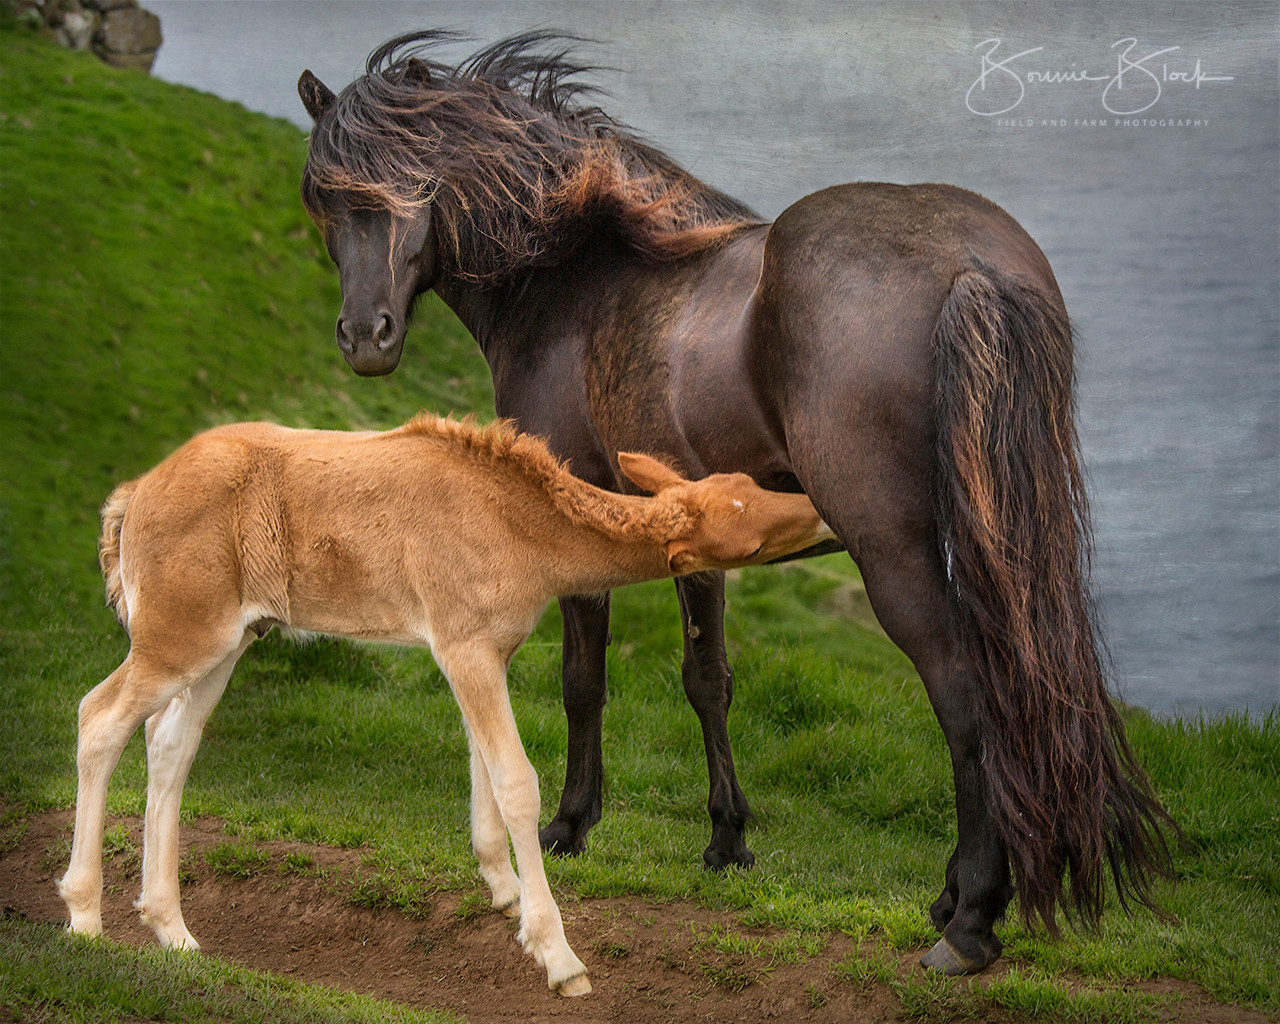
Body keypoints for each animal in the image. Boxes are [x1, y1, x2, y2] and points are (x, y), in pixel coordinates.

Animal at [57, 412, 833, 996]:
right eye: (751, 539)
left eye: (748, 485)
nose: (819, 509)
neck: (523, 532)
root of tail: (132, 496)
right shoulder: (463, 644)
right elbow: (517, 781)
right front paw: (558, 956)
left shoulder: (481, 652)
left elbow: (484, 769)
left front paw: (506, 894)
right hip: (179, 634)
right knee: (99, 717)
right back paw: (86, 916)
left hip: (229, 639)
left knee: (169, 743)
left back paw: (172, 927)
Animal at [295, 31, 1177, 974]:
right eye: (324, 196)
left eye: (417, 186)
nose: (367, 338)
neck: (576, 278)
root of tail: (968, 263)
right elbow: (708, 677)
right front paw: (726, 839)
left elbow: (586, 678)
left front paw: (573, 824)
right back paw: (953, 896)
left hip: (893, 550)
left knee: (965, 697)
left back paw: (970, 918)